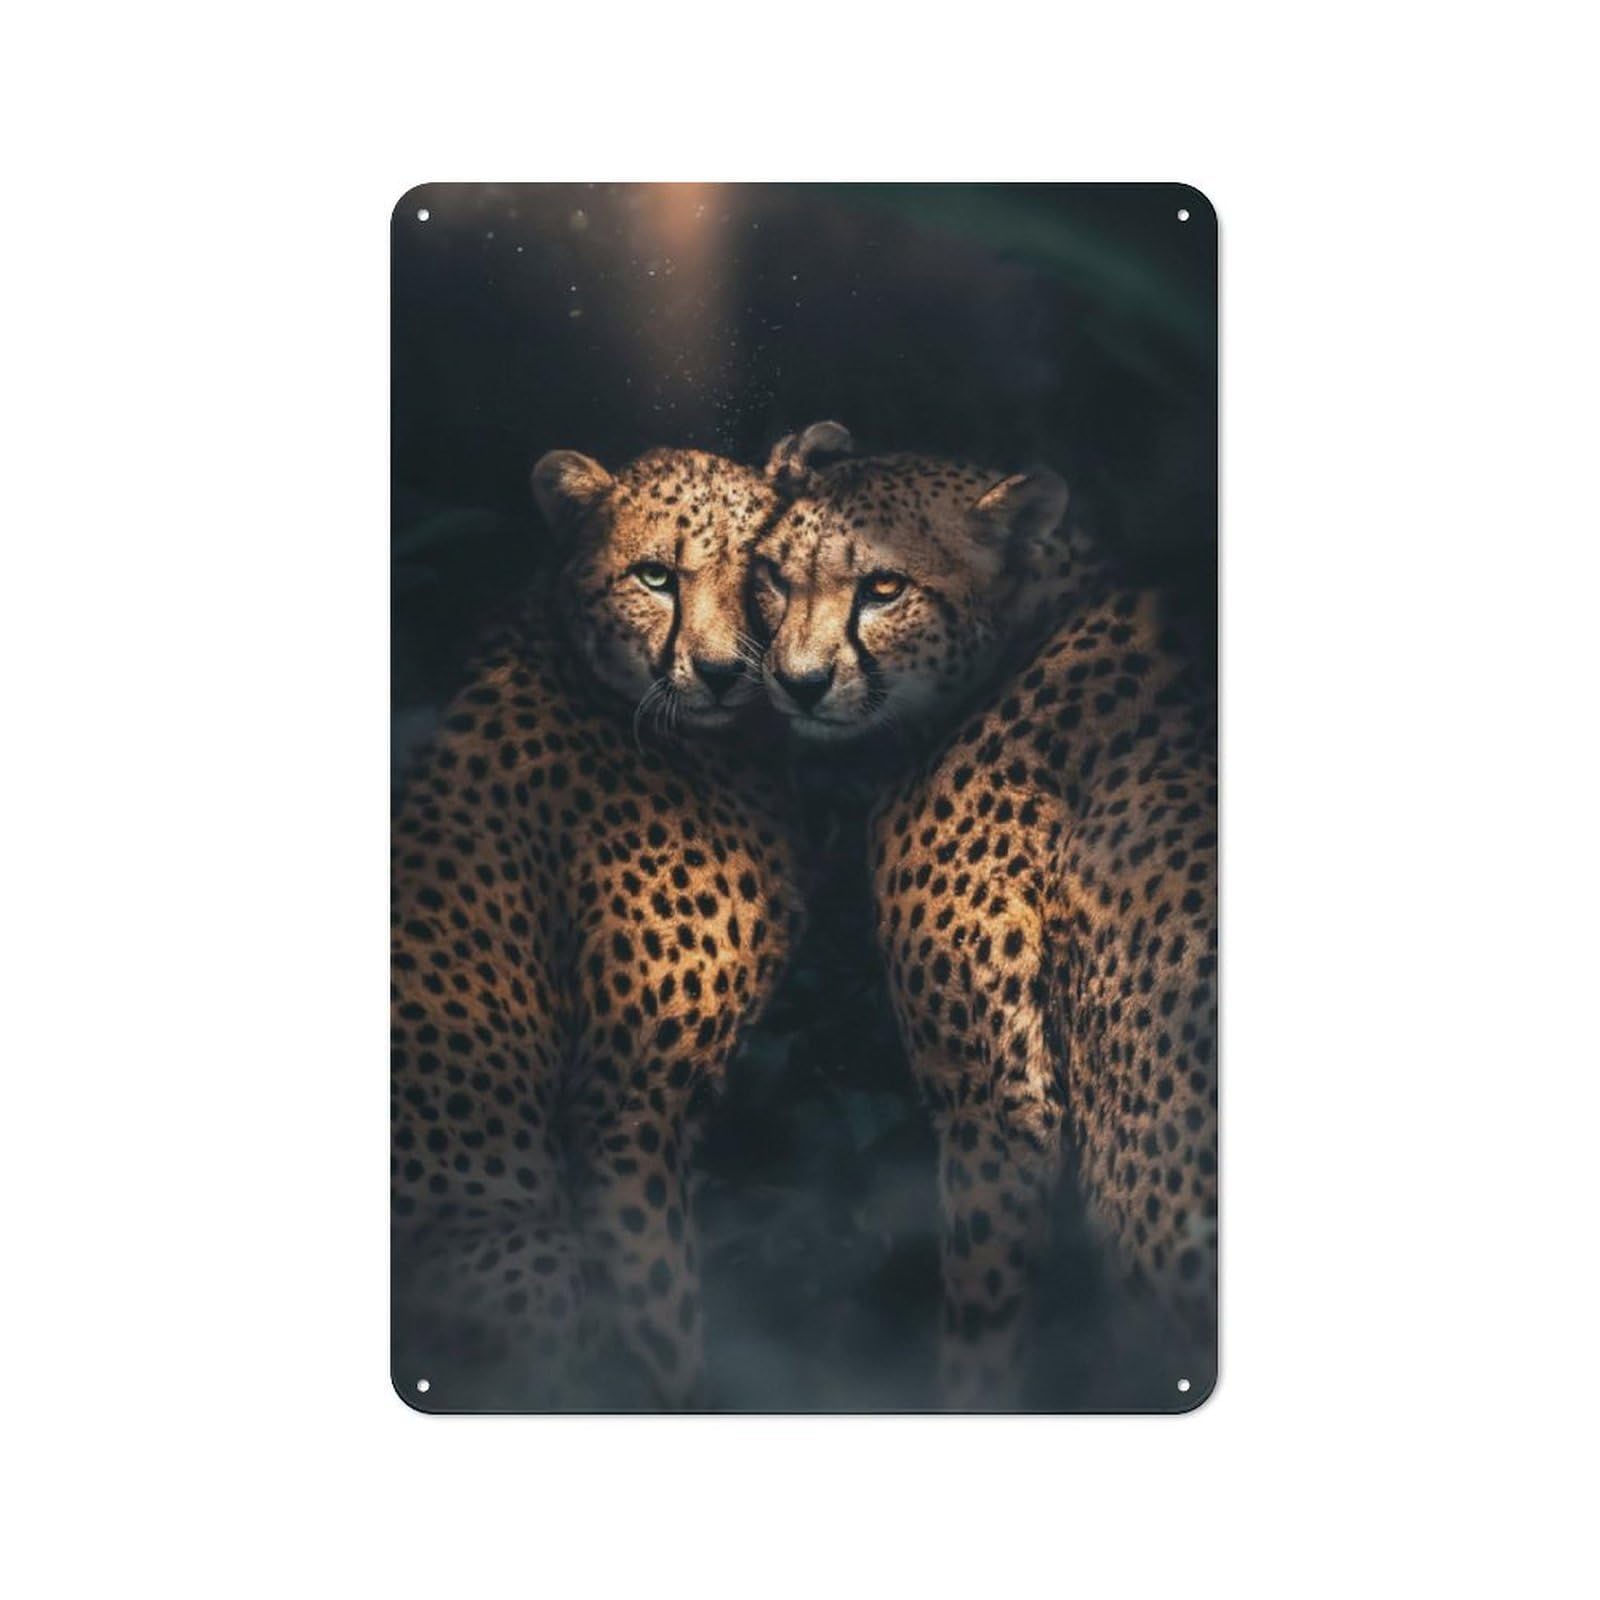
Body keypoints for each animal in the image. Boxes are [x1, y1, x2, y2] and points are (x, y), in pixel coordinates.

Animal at [391, 444, 806, 1410]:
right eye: (655, 576)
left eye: (763, 576)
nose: (724, 670)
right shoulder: (628, 1105)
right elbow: (662, 1318)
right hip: (529, 1250)